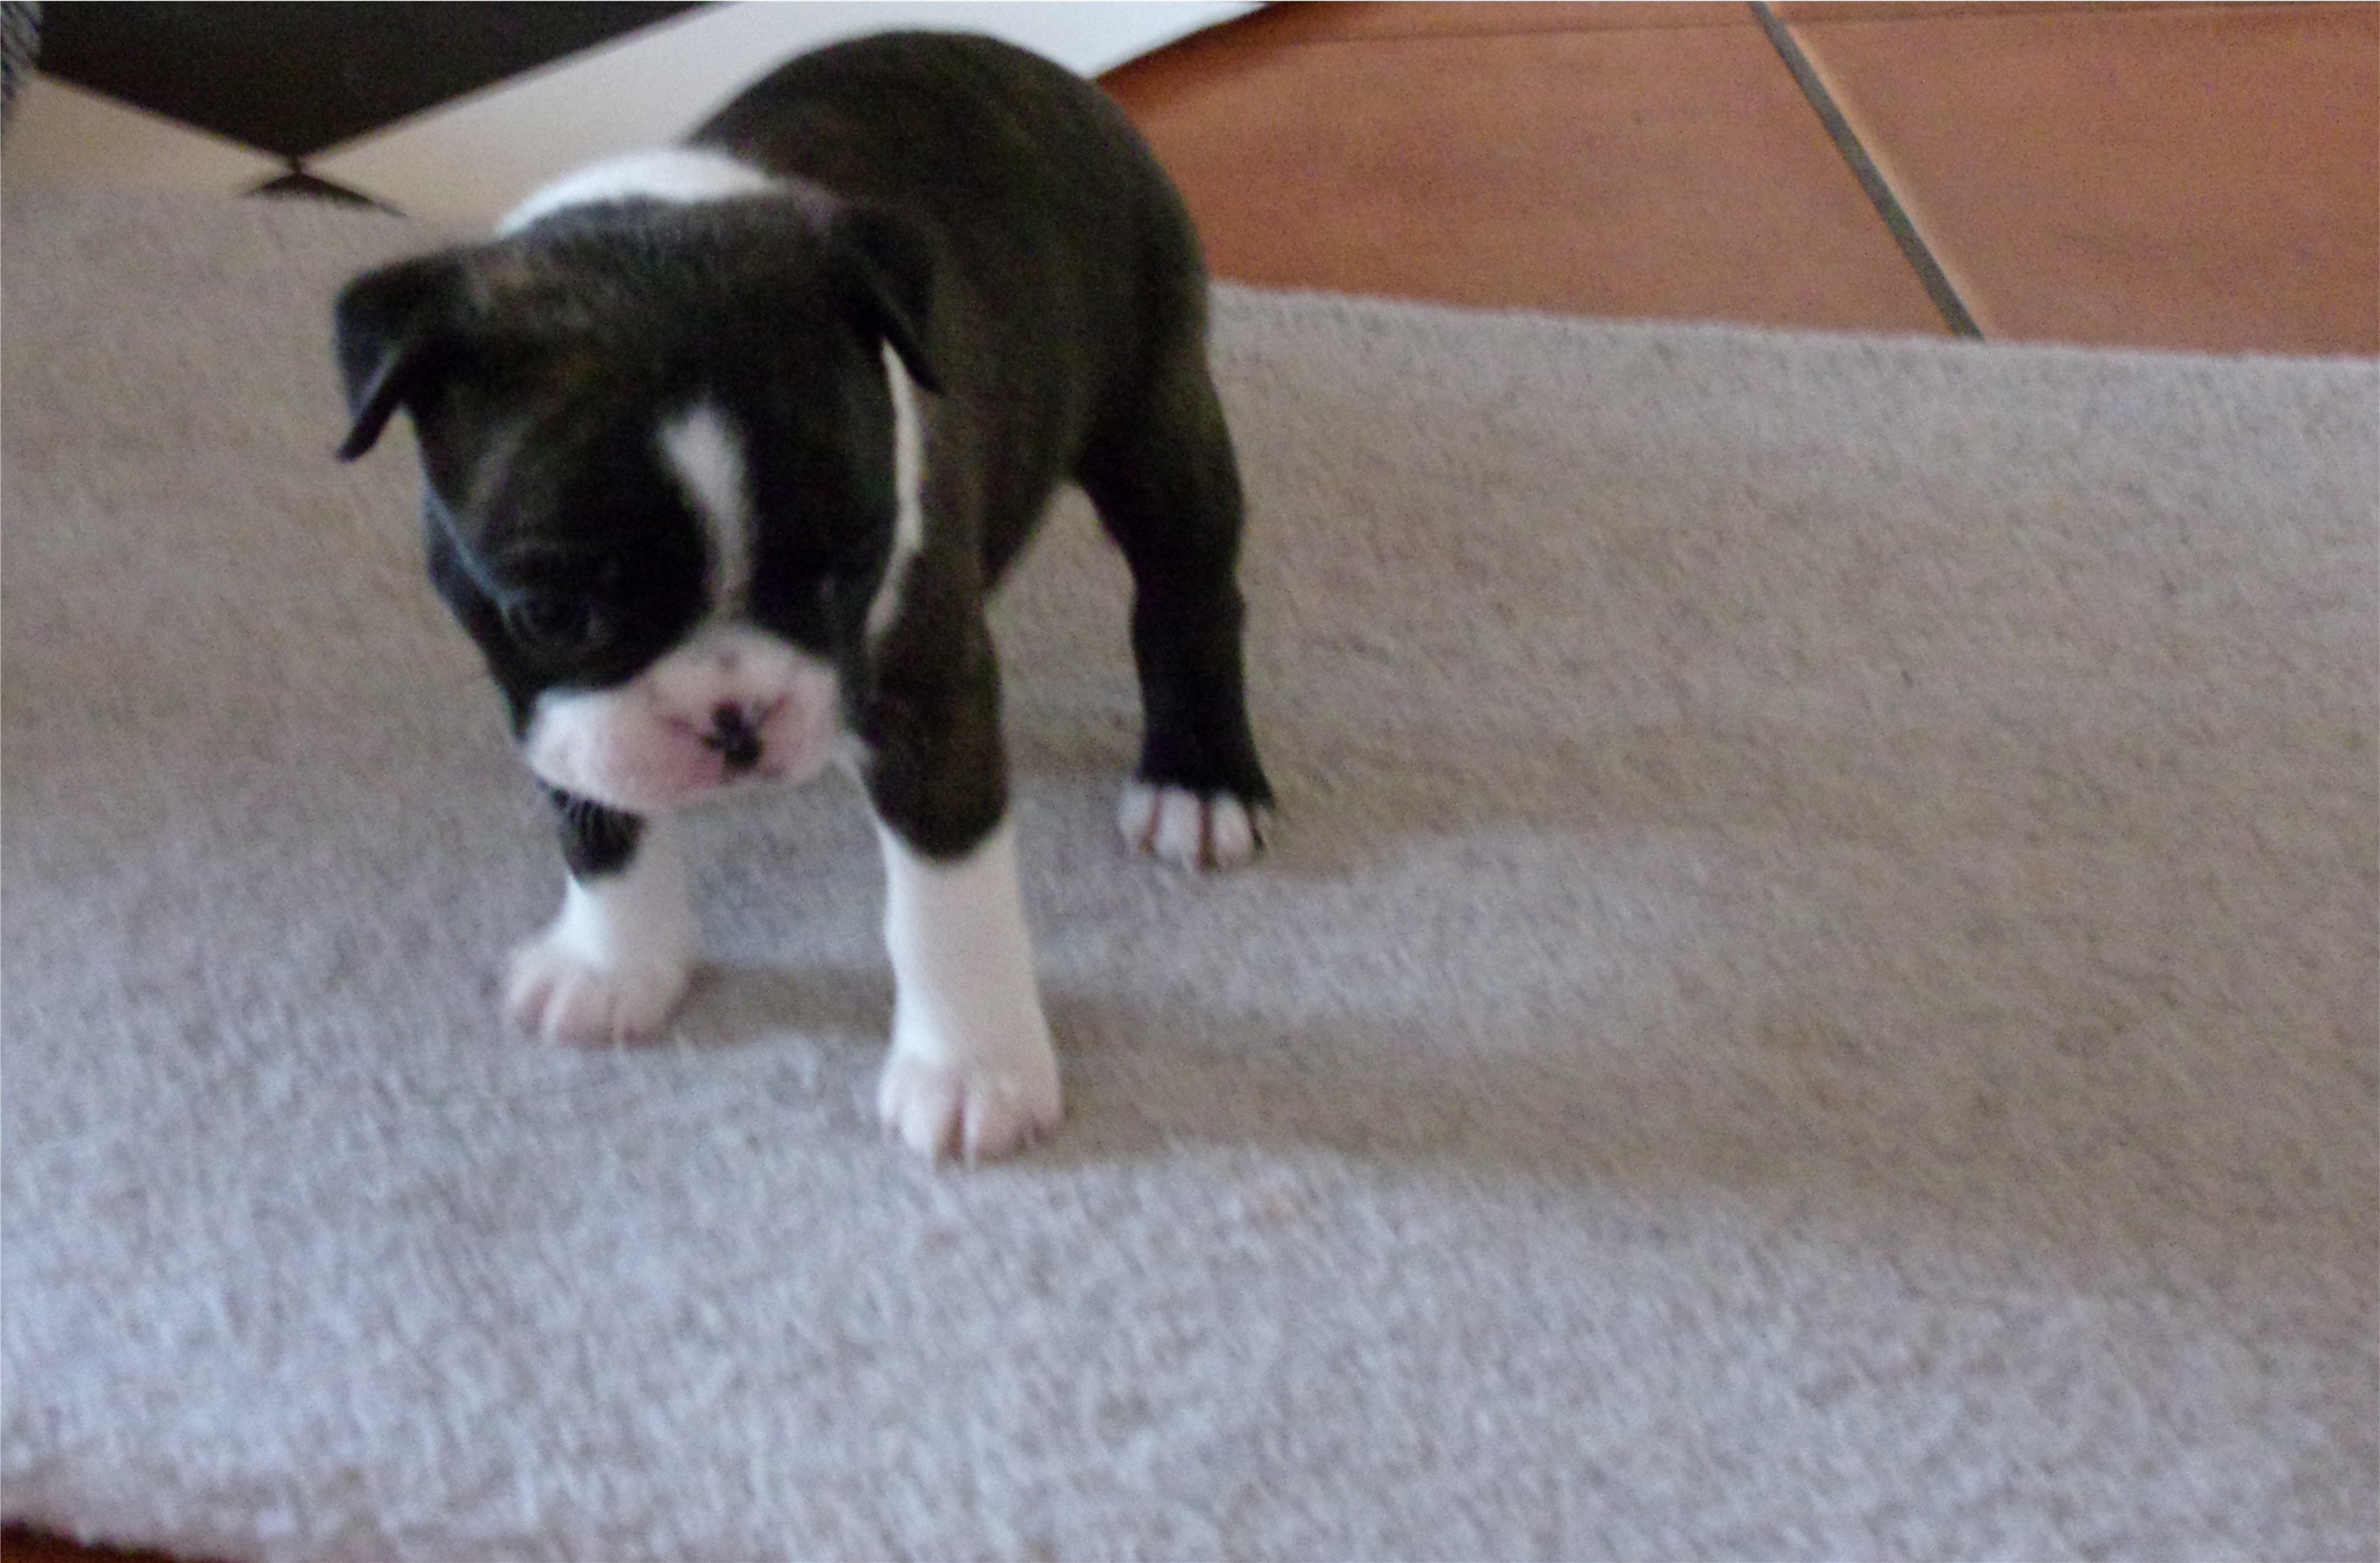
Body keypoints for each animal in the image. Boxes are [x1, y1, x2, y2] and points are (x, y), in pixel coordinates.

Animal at [332, 31, 1273, 1162]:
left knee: (1188, 594)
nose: (731, 718)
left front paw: (972, 1072)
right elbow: (597, 821)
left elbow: (945, 899)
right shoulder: (545, 699)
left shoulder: (929, 701)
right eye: (552, 613)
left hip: (1155, 413)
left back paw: (1200, 780)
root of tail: (1034, 64)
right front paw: (615, 964)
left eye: (847, 565)